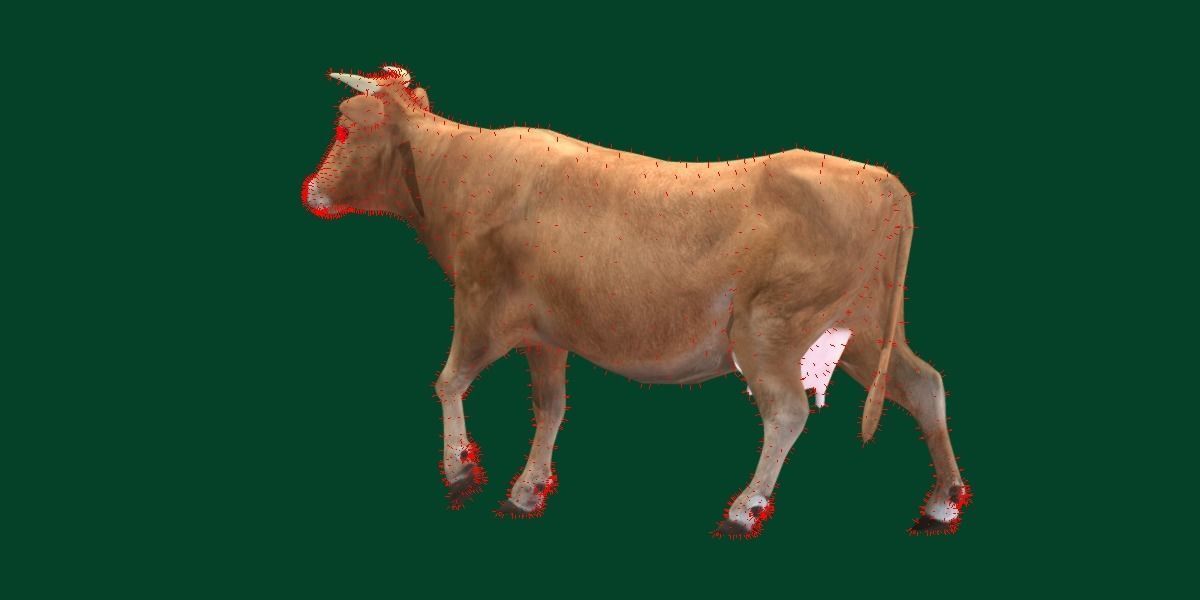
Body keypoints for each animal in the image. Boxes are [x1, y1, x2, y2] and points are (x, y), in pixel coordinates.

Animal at [303, 65, 969, 537]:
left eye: (348, 124)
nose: (312, 190)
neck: (458, 171)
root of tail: (879, 177)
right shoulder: (545, 332)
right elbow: (550, 407)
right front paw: (526, 489)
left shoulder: (480, 303)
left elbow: (448, 382)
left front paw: (460, 471)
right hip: (861, 328)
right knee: (924, 385)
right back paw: (941, 502)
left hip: (770, 327)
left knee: (787, 411)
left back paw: (745, 506)